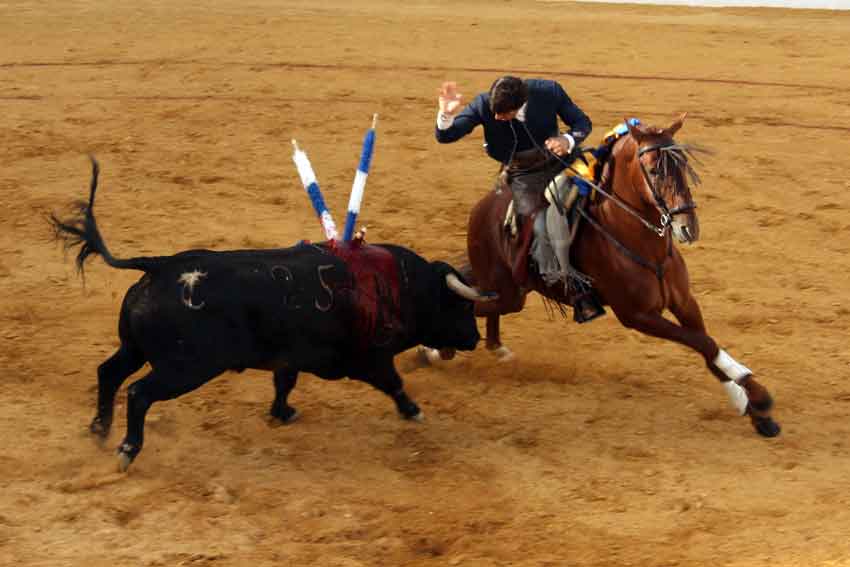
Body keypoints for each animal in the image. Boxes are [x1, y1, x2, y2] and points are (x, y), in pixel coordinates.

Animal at [51, 160, 490, 470]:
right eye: (461, 306)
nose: (475, 338)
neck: (400, 286)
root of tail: (159, 266)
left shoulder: (290, 356)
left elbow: (284, 383)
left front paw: (282, 413)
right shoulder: (370, 359)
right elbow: (394, 383)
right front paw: (414, 412)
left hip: (134, 348)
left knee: (108, 373)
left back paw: (99, 430)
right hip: (185, 368)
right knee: (139, 392)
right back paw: (127, 449)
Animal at [460, 114, 780, 434]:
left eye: (683, 166)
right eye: (654, 169)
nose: (688, 227)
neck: (643, 245)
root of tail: (482, 207)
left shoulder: (684, 301)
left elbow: (708, 348)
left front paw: (755, 409)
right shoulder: (637, 316)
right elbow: (703, 343)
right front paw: (757, 397)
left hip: (511, 291)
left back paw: (497, 348)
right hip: (509, 293)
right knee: (475, 304)